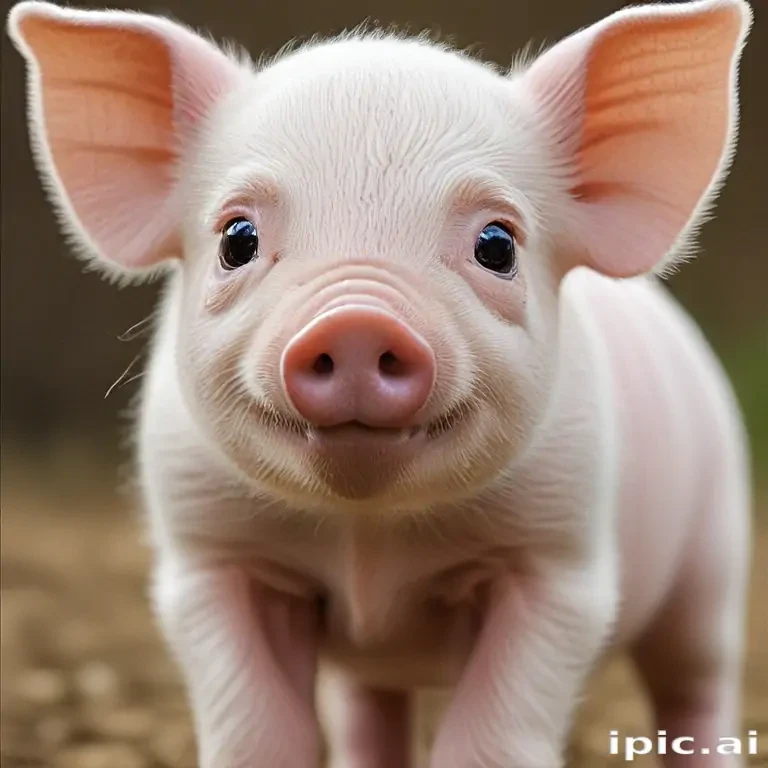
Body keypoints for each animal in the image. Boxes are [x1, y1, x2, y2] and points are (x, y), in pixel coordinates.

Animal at [6, 0, 754, 766]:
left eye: (498, 245)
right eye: (236, 239)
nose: (356, 321)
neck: (367, 537)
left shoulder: (558, 563)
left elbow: (488, 737)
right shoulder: (209, 557)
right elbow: (259, 730)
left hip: (715, 553)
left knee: (696, 682)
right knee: (369, 704)